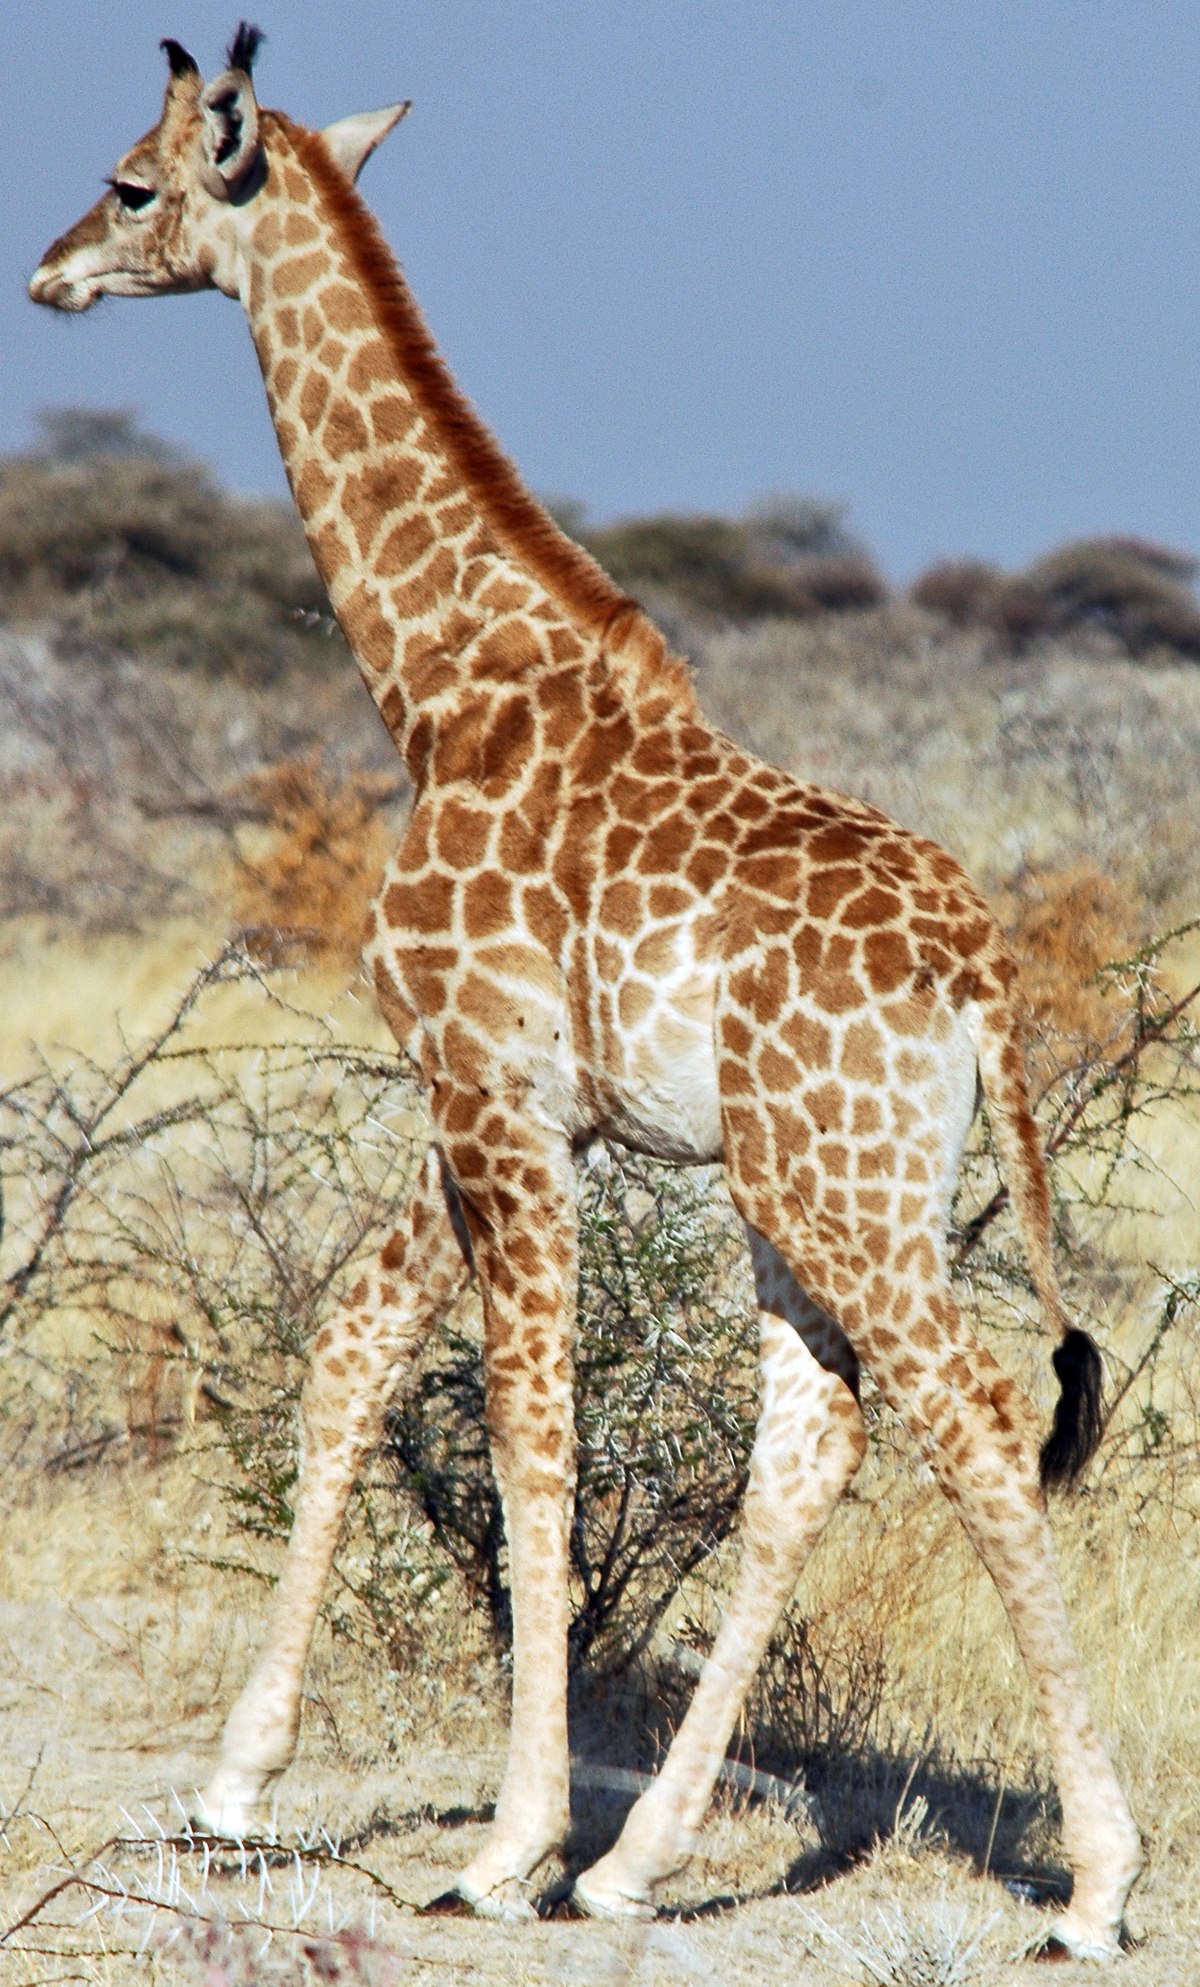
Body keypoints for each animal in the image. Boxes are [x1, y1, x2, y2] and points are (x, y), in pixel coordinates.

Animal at [31, 28, 1141, 1956]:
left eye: (132, 182)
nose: (49, 273)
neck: (443, 686)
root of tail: (984, 974)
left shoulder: (492, 1090)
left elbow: (529, 1436)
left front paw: (502, 1844)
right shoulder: (481, 1094)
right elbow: (353, 1348)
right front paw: (239, 1787)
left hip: (840, 1189)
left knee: (980, 1424)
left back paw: (1092, 1883)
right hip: (811, 1188)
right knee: (814, 1442)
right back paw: (641, 1865)